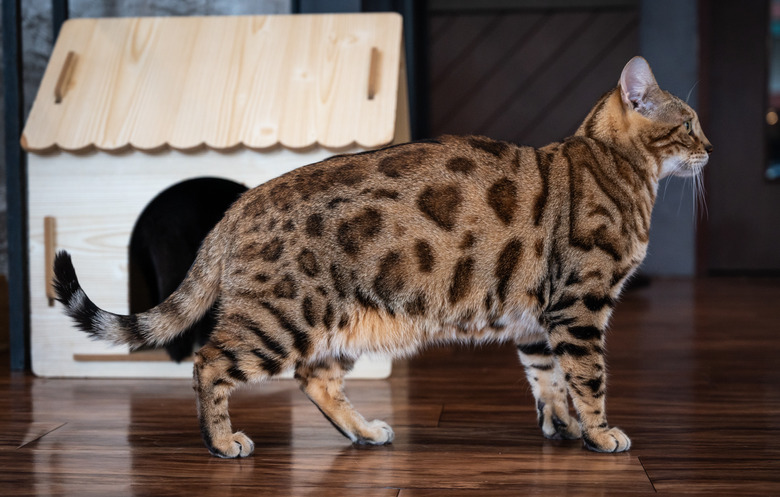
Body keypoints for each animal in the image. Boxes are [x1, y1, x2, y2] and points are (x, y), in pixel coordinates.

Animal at [53, 57, 712, 458]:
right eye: (688, 123)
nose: (710, 147)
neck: (618, 169)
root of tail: (239, 204)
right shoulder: (579, 306)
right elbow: (589, 377)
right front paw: (600, 434)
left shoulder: (537, 318)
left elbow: (549, 380)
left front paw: (565, 430)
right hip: (282, 319)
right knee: (209, 362)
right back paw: (222, 442)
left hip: (345, 324)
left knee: (313, 378)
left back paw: (365, 431)